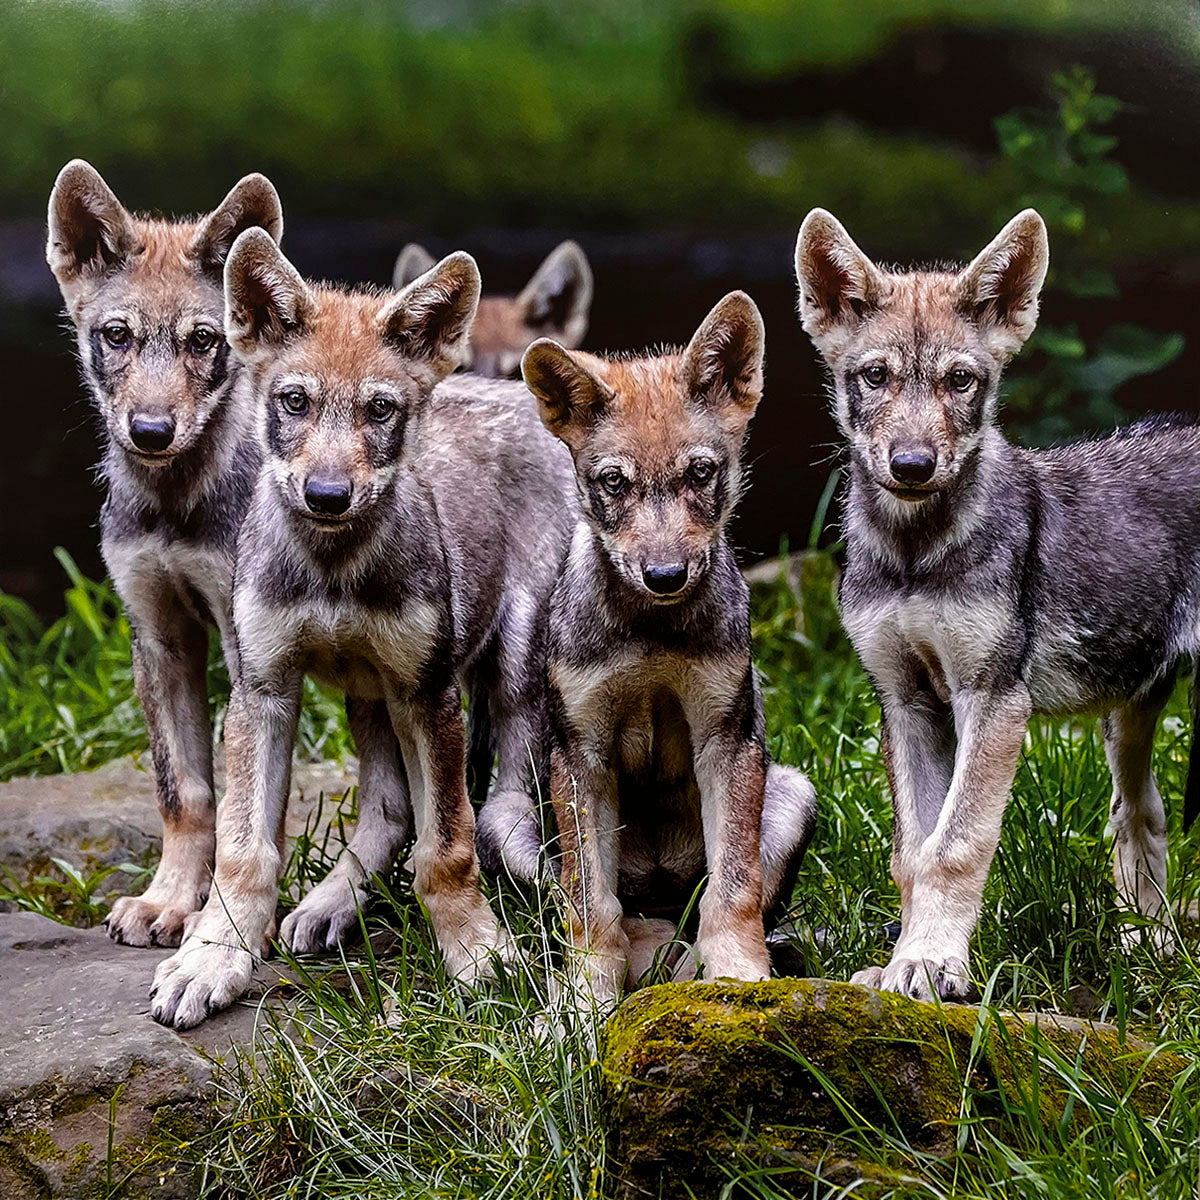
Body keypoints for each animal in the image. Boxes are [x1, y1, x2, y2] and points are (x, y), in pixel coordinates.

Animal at [46, 160, 283, 948]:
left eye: (202, 341)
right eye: (116, 335)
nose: (151, 430)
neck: (173, 507)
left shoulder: (251, 651)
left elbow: (248, 813)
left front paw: (223, 926)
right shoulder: (157, 634)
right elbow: (185, 794)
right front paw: (169, 902)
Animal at [521, 293, 817, 1008]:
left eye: (701, 473)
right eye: (614, 483)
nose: (664, 576)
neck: (652, 635)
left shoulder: (725, 738)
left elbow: (734, 890)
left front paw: (742, 981)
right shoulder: (582, 751)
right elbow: (590, 906)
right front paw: (584, 1004)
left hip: (792, 793)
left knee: (713, 912)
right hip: (506, 815)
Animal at [794, 206, 1200, 1001]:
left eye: (961, 381)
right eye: (875, 376)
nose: (912, 465)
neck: (915, 557)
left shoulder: (993, 698)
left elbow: (955, 845)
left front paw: (930, 964)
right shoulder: (905, 699)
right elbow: (911, 855)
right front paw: (901, 963)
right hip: (1129, 715)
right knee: (1139, 813)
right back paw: (1149, 952)